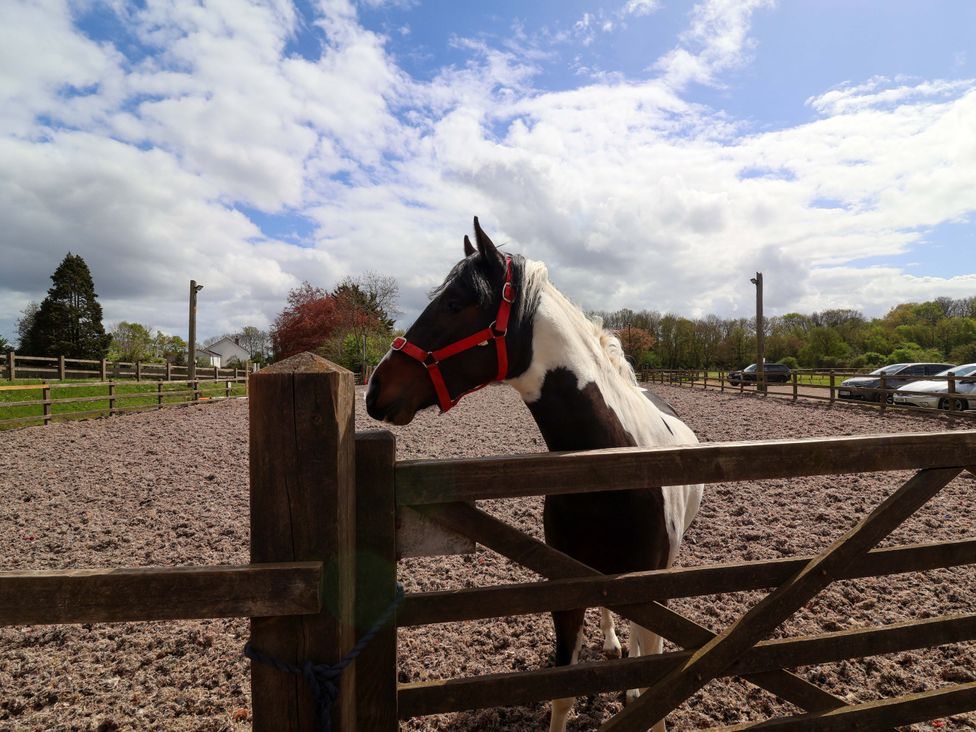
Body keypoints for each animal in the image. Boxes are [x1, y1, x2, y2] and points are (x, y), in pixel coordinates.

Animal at [366, 217, 704, 732]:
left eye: (455, 302)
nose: (375, 388)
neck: (611, 471)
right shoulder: (568, 589)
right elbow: (562, 692)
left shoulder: (653, 585)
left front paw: (636, 690)